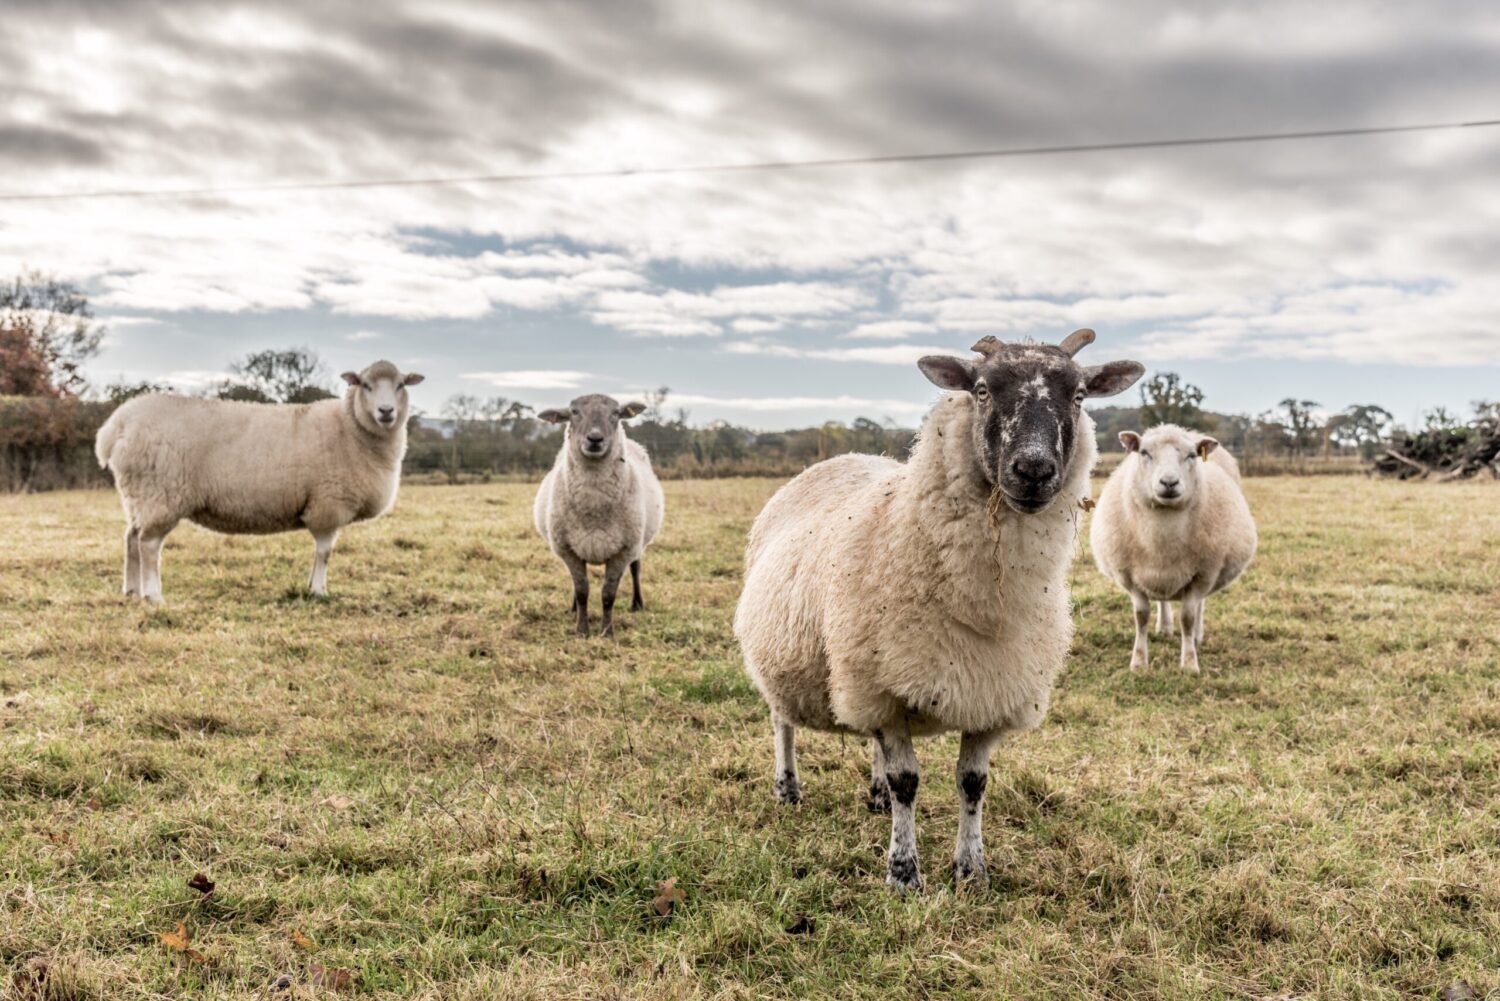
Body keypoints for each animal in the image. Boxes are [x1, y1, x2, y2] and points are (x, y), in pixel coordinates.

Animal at [94, 360, 423, 604]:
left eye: (400, 384)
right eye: (366, 384)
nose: (386, 411)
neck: (349, 427)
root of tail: (116, 427)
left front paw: (311, 587)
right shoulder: (328, 504)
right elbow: (324, 553)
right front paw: (318, 591)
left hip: (138, 496)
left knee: (131, 538)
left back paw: (132, 591)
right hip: (160, 494)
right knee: (149, 545)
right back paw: (153, 596)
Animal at [533, 393, 663, 638]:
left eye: (615, 413)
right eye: (574, 412)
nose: (595, 438)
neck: (594, 508)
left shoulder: (623, 550)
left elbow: (608, 594)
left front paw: (606, 632)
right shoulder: (569, 550)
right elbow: (582, 590)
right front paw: (582, 630)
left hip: (637, 541)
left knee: (636, 568)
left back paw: (637, 604)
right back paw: (574, 609)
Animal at [734, 329, 1144, 891]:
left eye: (1080, 396)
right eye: (982, 390)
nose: (1034, 470)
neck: (984, 603)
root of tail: (842, 456)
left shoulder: (990, 689)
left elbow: (972, 783)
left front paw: (971, 869)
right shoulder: (882, 689)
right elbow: (907, 780)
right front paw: (904, 873)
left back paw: (875, 797)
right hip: (789, 660)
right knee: (782, 724)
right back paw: (788, 788)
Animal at [1089, 424, 1257, 675]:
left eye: (1192, 455)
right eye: (1144, 452)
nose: (1169, 483)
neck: (1162, 539)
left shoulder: (1202, 575)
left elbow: (1188, 618)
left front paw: (1189, 663)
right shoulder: (1132, 576)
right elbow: (1141, 617)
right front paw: (1139, 662)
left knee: (1199, 606)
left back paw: (1196, 637)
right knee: (1162, 598)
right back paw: (1165, 627)